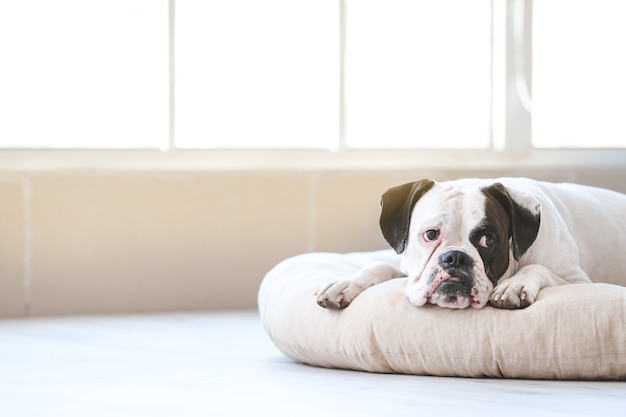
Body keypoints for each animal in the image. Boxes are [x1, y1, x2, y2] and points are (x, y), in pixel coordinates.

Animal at [316, 176, 624, 308]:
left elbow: (538, 268)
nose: (455, 257)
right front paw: (346, 283)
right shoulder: (409, 270)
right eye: (431, 234)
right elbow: (379, 266)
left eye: (488, 239)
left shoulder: (578, 281)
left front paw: (514, 285)